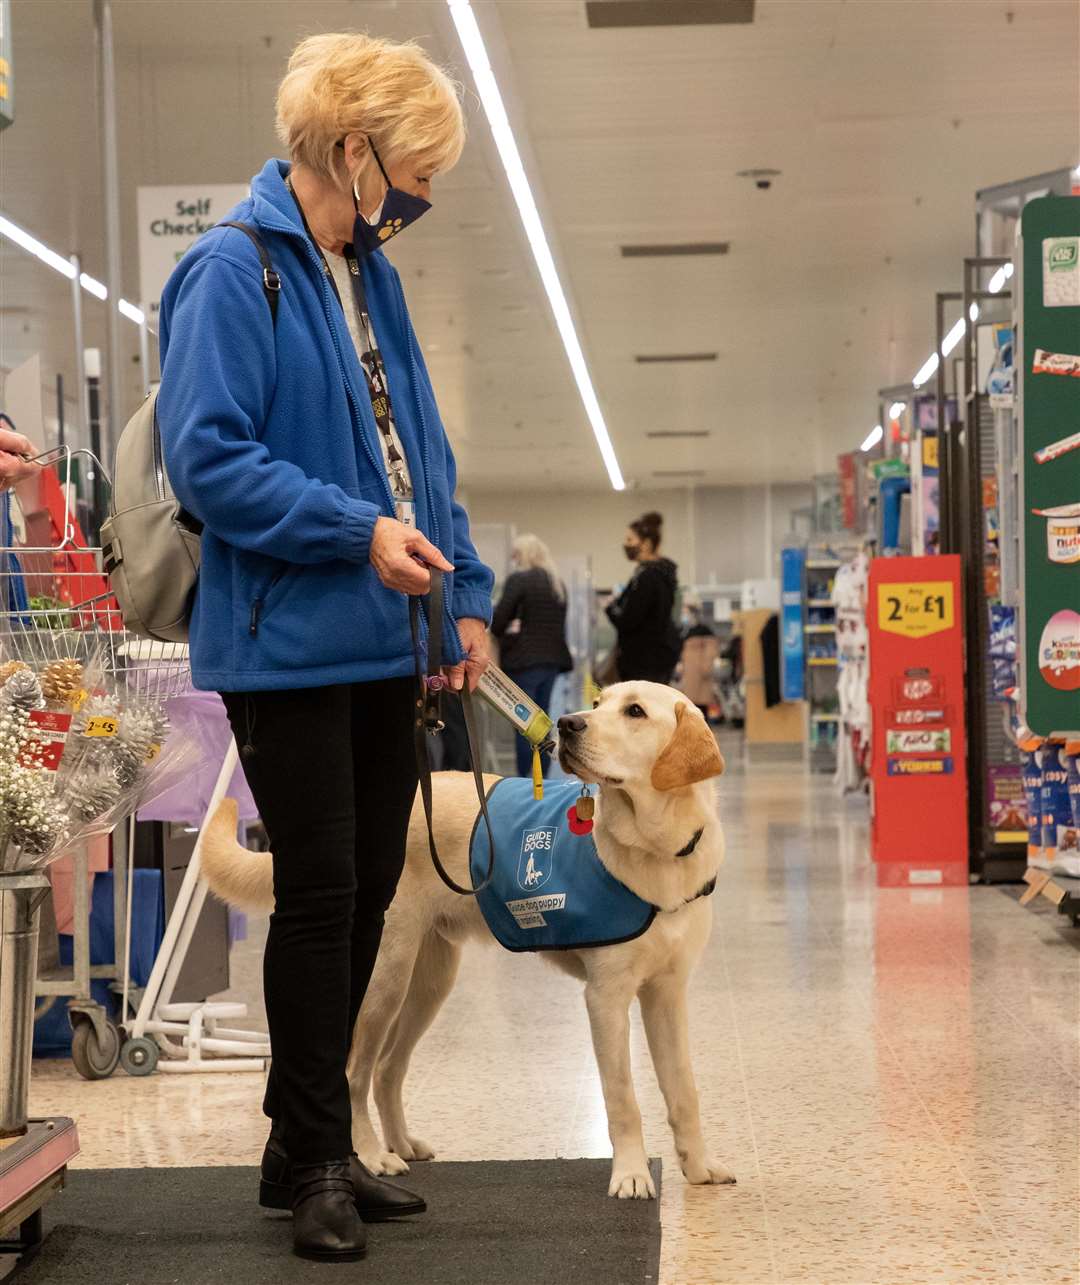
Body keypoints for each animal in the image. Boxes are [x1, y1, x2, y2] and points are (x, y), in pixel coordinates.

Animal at [203, 683, 735, 1192]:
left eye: (635, 712)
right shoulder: (606, 997)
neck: (659, 849)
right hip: (384, 977)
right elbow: (623, 1097)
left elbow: (684, 1090)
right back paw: (372, 1157)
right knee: (353, 1073)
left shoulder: (667, 994)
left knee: (387, 1069)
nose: (567, 724)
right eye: (600, 701)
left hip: (430, 982)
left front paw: (699, 1166)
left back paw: (401, 1143)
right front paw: (631, 1175)